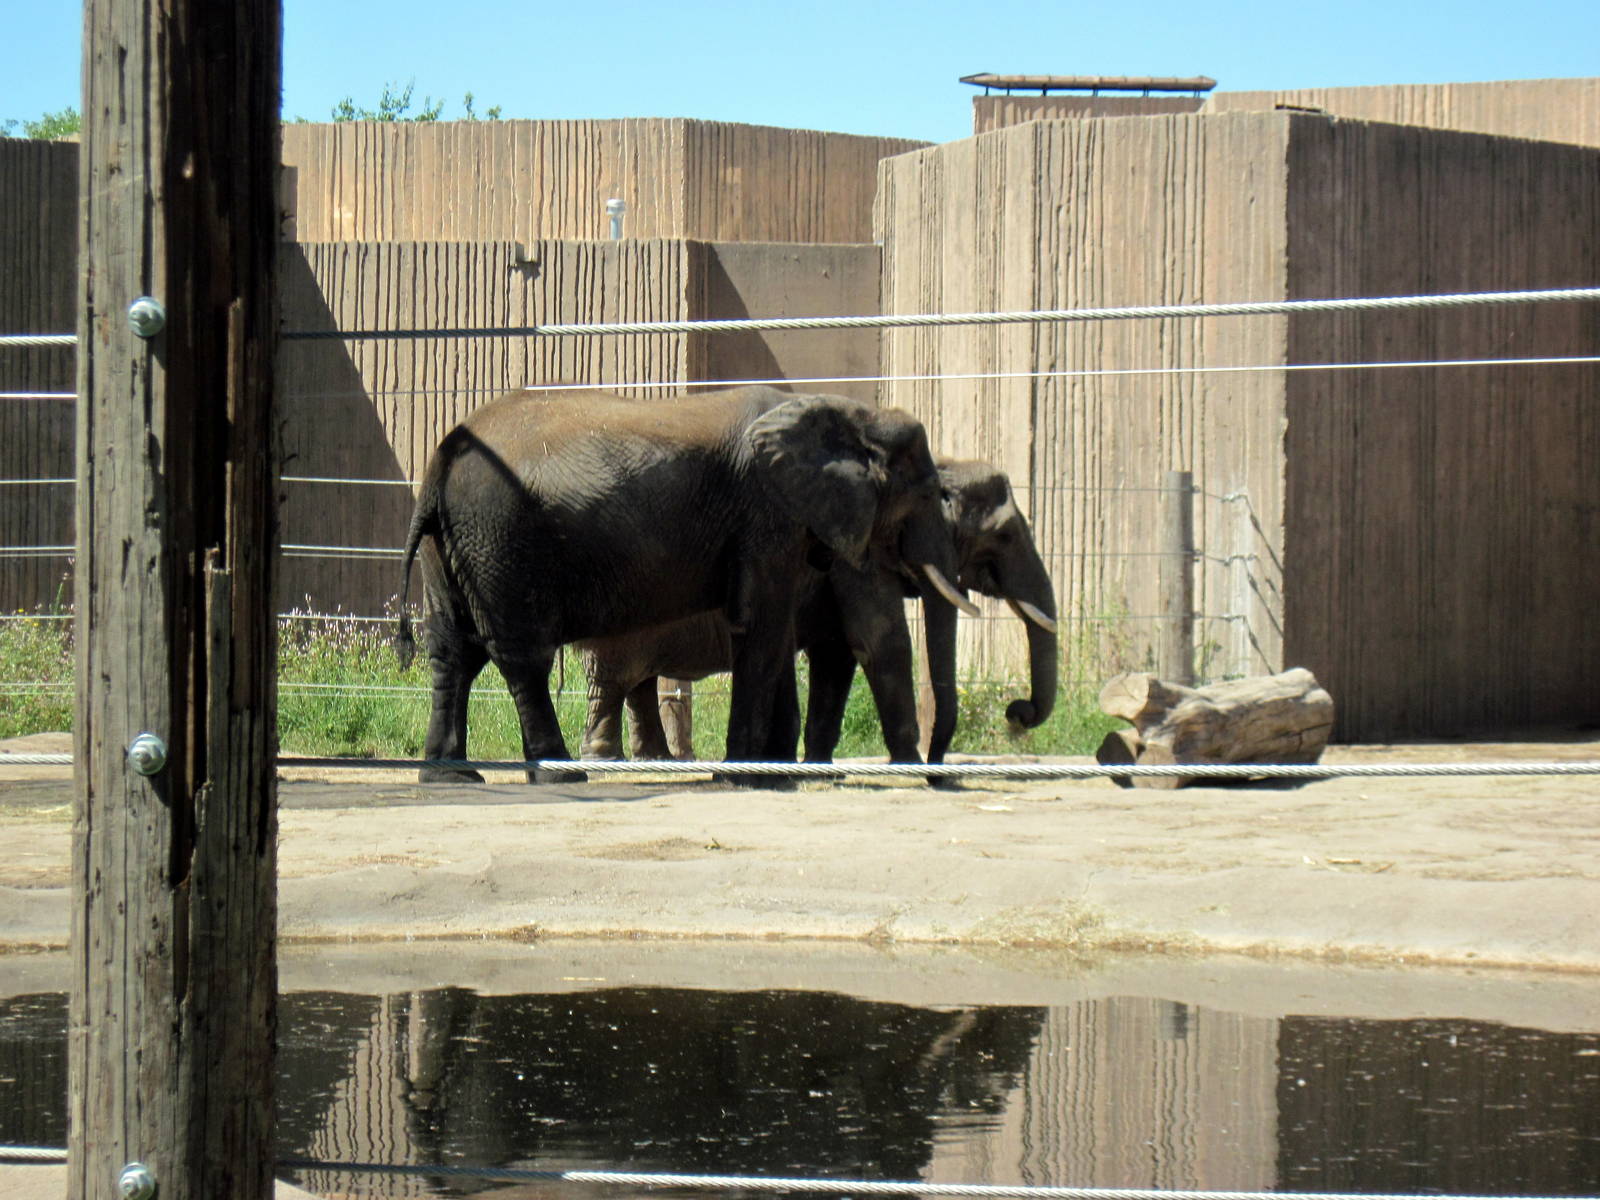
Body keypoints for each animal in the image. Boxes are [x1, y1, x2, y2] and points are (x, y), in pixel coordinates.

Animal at [393, 385, 972, 783]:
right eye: (927, 493)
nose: (939, 776)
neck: (842, 411)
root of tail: (441, 458)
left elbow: (773, 631)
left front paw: (770, 777)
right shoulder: (767, 515)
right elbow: (761, 628)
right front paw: (747, 781)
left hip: (456, 543)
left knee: (454, 651)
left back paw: (452, 777)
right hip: (502, 538)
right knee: (522, 656)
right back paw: (559, 775)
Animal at [576, 458, 1059, 766]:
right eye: (1004, 536)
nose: (1018, 712)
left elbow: (836, 655)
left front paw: (818, 764)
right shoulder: (854, 559)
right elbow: (879, 642)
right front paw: (908, 765)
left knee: (637, 683)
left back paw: (651, 758)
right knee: (615, 679)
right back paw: (605, 758)